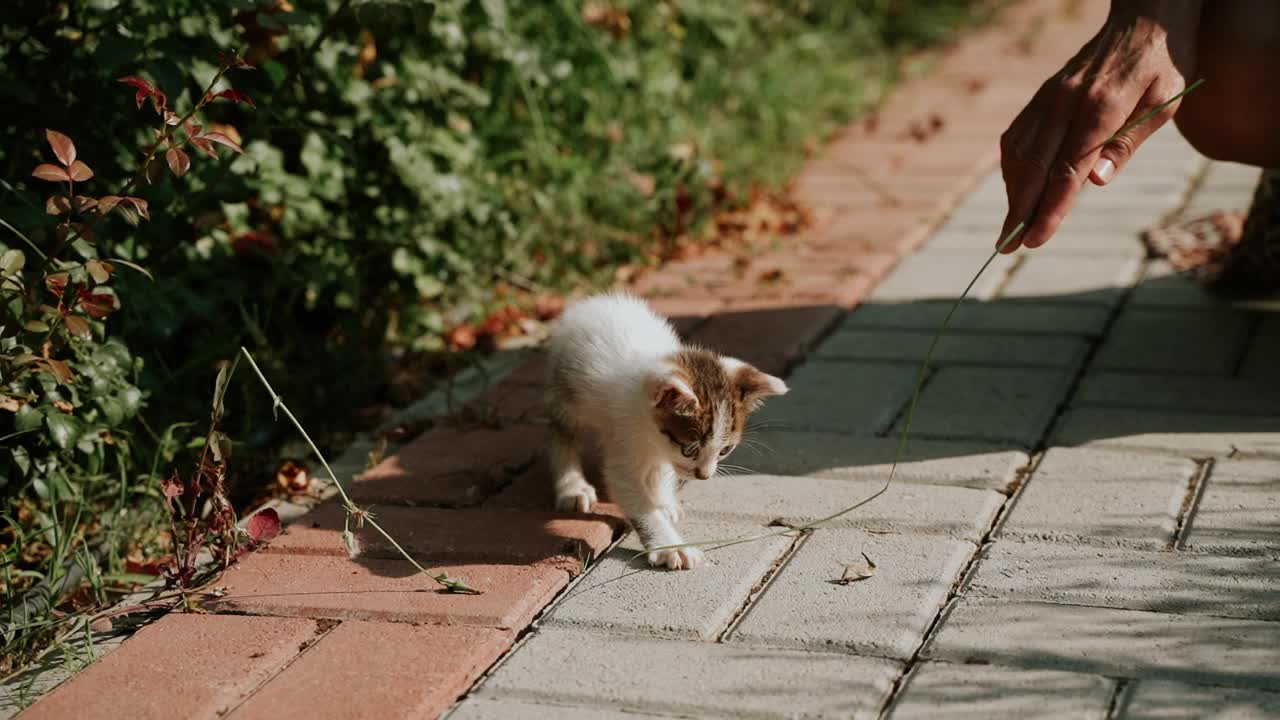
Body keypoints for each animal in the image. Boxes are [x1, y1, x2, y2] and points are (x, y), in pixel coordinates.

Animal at [542, 289, 783, 566]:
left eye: (725, 450)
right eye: (689, 449)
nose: (704, 476)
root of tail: (592, 302)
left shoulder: (662, 450)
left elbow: (660, 472)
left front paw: (662, 502)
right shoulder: (624, 446)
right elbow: (637, 498)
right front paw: (670, 546)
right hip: (568, 397)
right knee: (563, 435)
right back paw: (572, 487)